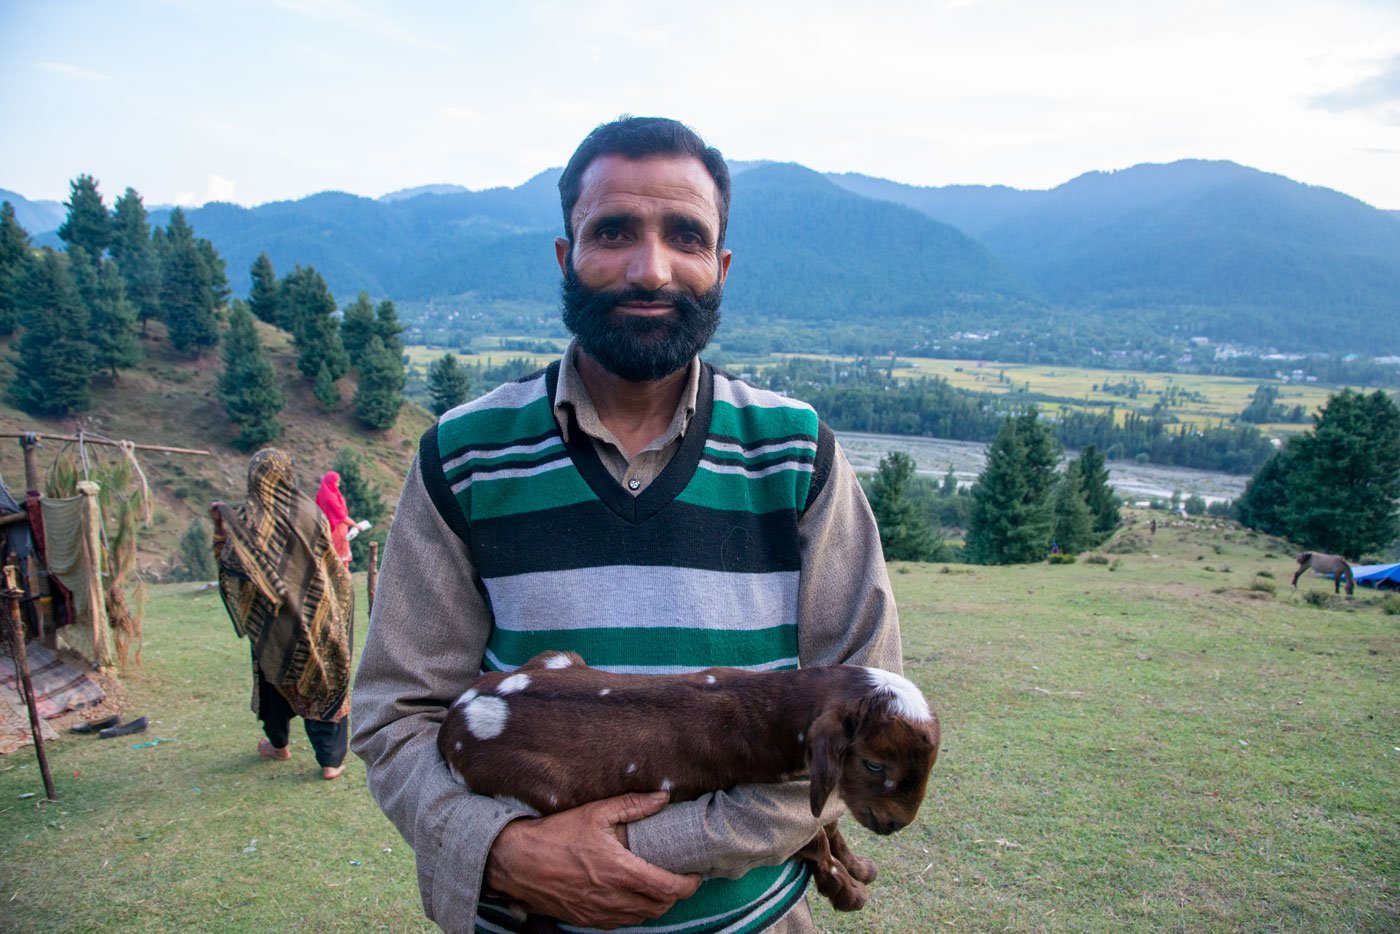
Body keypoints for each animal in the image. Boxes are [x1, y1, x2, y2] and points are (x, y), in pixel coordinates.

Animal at [436, 649, 940, 918]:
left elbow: (825, 823)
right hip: (541, 790)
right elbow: (811, 837)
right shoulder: (748, 783)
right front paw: (848, 892)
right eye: (874, 765)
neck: (770, 708)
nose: (896, 823)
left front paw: (859, 868)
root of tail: (456, 720)